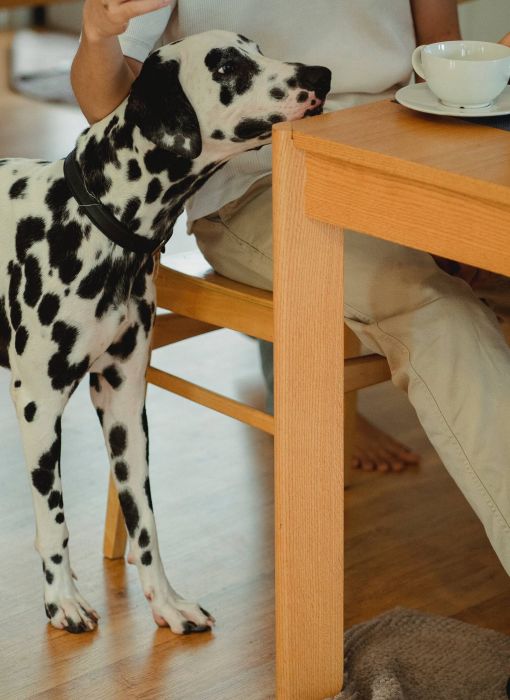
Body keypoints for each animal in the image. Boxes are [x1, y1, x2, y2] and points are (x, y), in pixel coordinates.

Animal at [0, 28, 330, 636]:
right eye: (225, 66)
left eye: (259, 48)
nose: (320, 76)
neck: (94, 219)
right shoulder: (37, 403)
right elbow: (54, 519)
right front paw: (61, 599)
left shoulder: (125, 398)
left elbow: (144, 519)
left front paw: (166, 602)